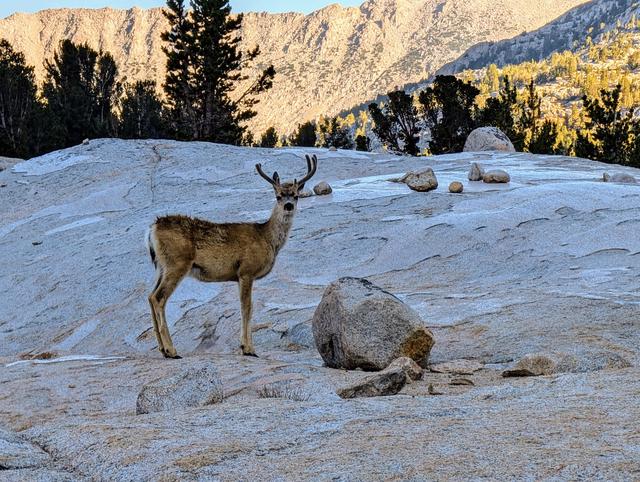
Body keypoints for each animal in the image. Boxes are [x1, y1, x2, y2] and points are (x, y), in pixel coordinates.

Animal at [144, 154, 316, 358]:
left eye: (296, 196)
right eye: (279, 196)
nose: (288, 206)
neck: (266, 237)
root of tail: (152, 229)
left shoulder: (242, 276)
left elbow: (249, 308)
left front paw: (247, 346)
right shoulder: (246, 270)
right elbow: (246, 307)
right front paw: (248, 349)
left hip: (162, 266)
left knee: (150, 296)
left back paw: (162, 349)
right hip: (177, 263)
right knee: (159, 298)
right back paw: (171, 350)